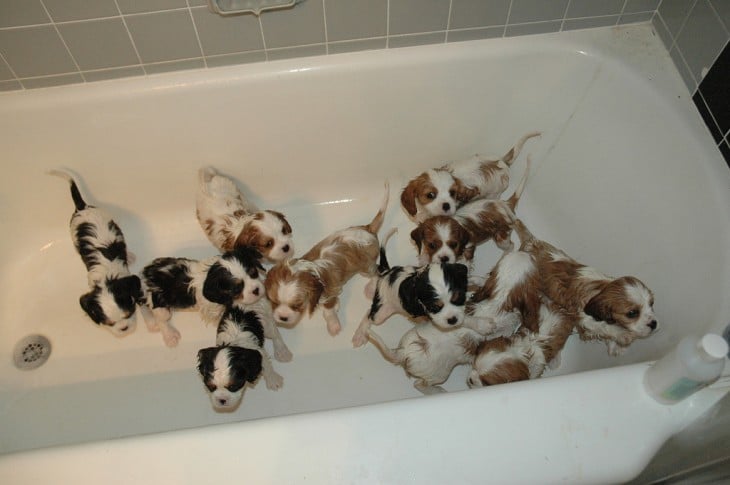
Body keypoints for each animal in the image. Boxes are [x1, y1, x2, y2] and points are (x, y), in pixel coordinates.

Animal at [264, 182, 390, 336]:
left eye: (297, 305)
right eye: (274, 302)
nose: (282, 317)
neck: (308, 270)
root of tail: (368, 229)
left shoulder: (329, 291)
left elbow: (328, 309)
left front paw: (333, 324)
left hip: (366, 265)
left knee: (376, 272)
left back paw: (370, 288)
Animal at [510, 219, 656, 356]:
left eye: (652, 304)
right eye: (632, 313)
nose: (654, 324)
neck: (600, 288)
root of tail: (531, 241)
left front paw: (615, 346)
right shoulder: (583, 318)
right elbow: (603, 327)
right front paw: (621, 335)